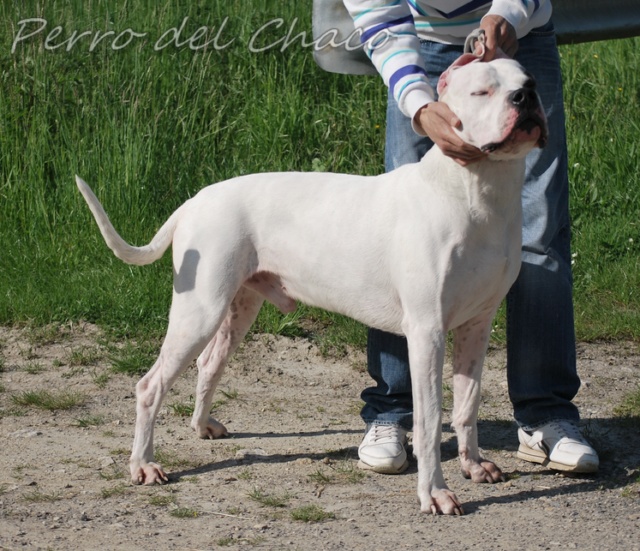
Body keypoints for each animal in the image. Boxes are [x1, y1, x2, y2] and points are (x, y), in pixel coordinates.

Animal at [75, 54, 544, 516]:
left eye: (530, 82)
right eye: (481, 90)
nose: (525, 98)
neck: (474, 192)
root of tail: (194, 201)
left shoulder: (476, 327)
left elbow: (467, 405)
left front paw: (474, 465)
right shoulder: (427, 332)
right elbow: (429, 422)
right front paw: (435, 493)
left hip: (237, 308)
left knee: (209, 363)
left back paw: (203, 425)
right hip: (199, 311)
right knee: (150, 386)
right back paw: (143, 465)